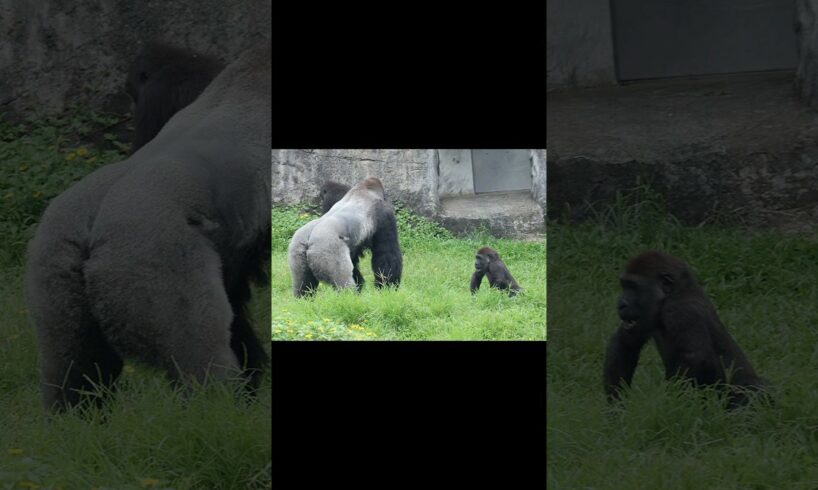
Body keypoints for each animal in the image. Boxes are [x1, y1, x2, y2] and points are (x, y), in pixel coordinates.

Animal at [25, 40, 270, 412]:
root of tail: (88, 231)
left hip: (53, 268)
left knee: (74, 370)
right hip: (149, 259)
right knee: (200, 356)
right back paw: (222, 413)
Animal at [600, 251, 764, 408]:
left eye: (633, 287)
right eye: (625, 285)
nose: (620, 304)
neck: (677, 292)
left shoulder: (682, 311)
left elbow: (694, 358)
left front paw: (673, 403)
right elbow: (625, 344)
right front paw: (616, 405)